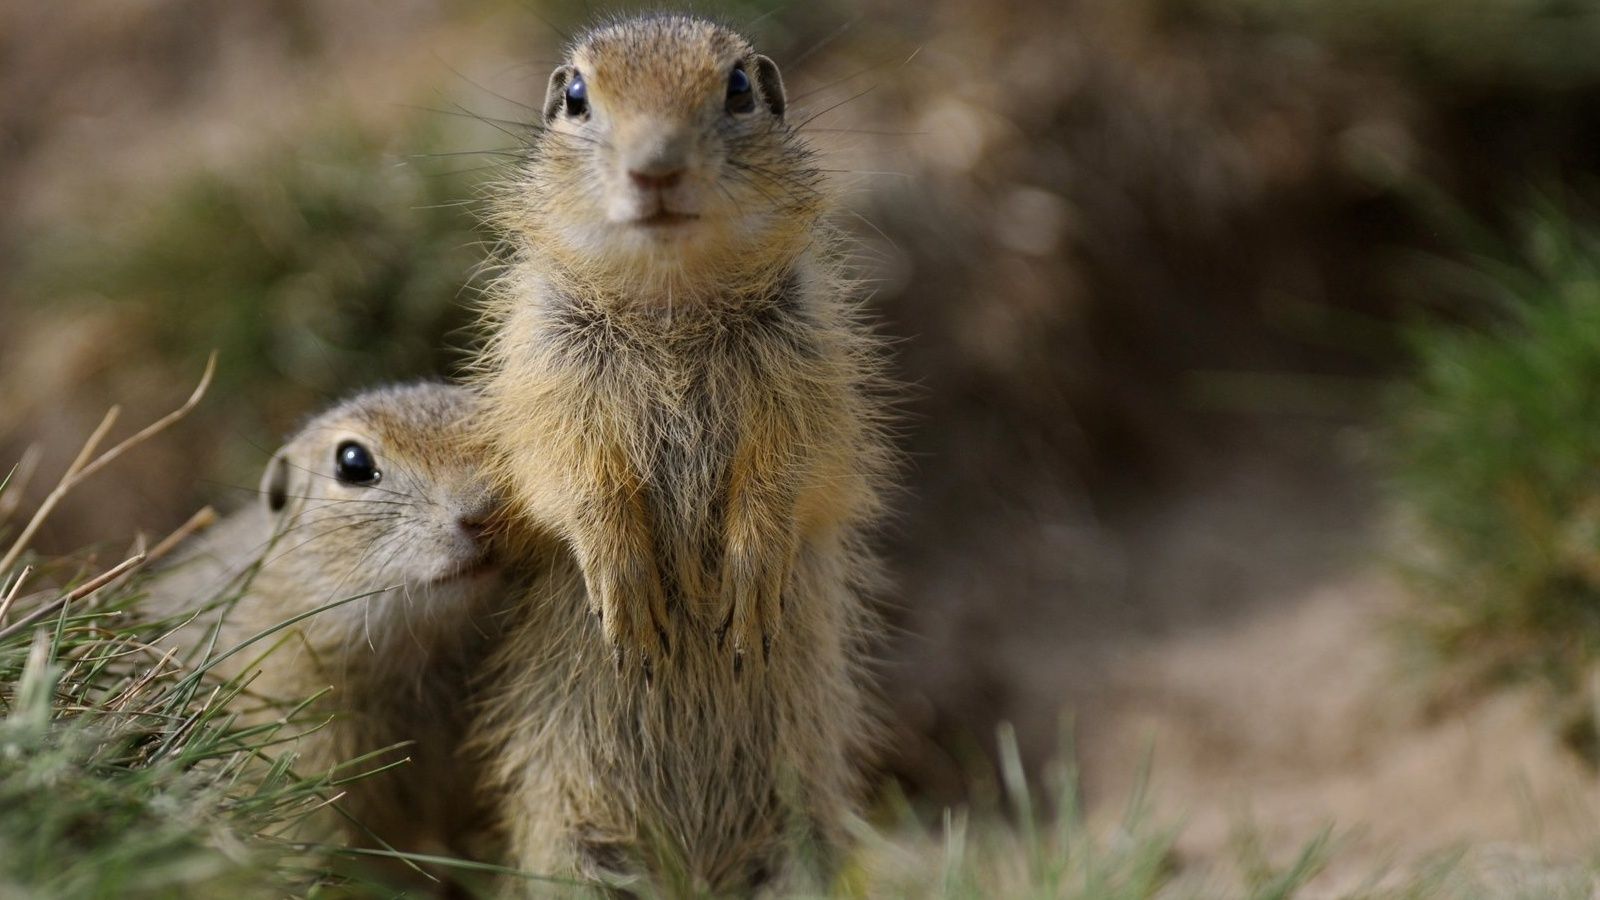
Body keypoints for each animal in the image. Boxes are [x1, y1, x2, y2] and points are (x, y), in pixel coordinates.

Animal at [470, 14, 902, 890]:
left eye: (737, 89)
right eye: (576, 96)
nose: (656, 169)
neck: (670, 306)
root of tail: (692, 873)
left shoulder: (812, 371)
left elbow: (793, 471)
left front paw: (749, 578)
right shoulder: (544, 372)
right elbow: (567, 478)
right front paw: (627, 589)